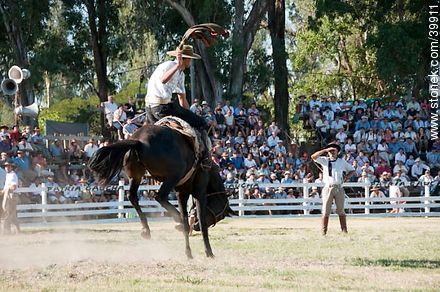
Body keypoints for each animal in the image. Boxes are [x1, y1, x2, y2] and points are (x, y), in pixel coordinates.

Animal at [87, 124, 235, 256]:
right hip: (174, 175)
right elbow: (202, 222)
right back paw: (178, 221)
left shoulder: (181, 193)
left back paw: (147, 230)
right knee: (160, 196)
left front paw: (188, 252)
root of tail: (139, 140)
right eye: (220, 215)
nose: (196, 227)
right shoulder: (200, 192)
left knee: (133, 196)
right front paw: (208, 252)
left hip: (136, 175)